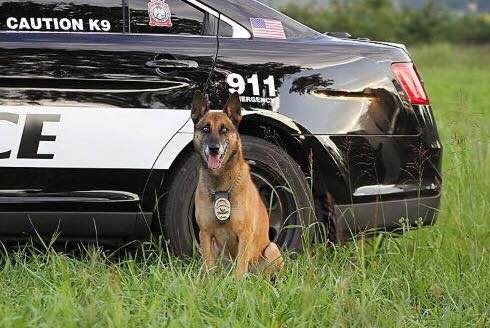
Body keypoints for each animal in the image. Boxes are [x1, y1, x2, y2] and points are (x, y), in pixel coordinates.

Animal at [190, 90, 284, 276]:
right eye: (205, 129)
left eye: (224, 130)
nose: (214, 148)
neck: (220, 184)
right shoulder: (205, 234)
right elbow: (209, 269)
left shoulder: (244, 234)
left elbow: (240, 270)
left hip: (271, 249)